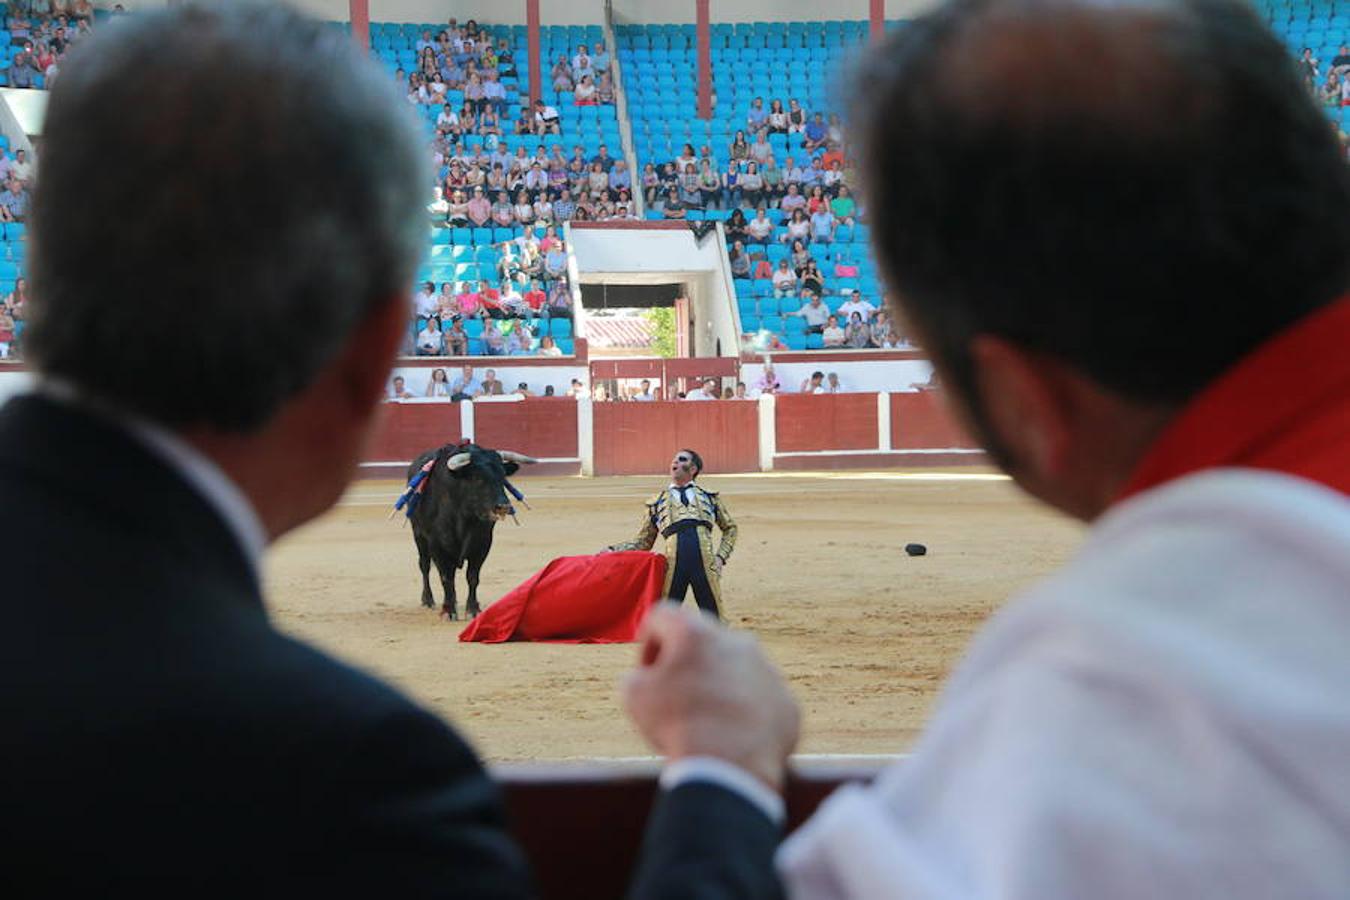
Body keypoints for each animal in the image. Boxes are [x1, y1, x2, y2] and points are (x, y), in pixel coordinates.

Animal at [394, 442, 534, 620]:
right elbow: (446, 577)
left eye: (503, 477)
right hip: (418, 534)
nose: (503, 506)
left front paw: (472, 610)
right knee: (425, 565)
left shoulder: (482, 544)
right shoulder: (437, 545)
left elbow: (472, 577)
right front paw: (448, 611)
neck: (463, 516)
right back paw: (428, 600)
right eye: (477, 478)